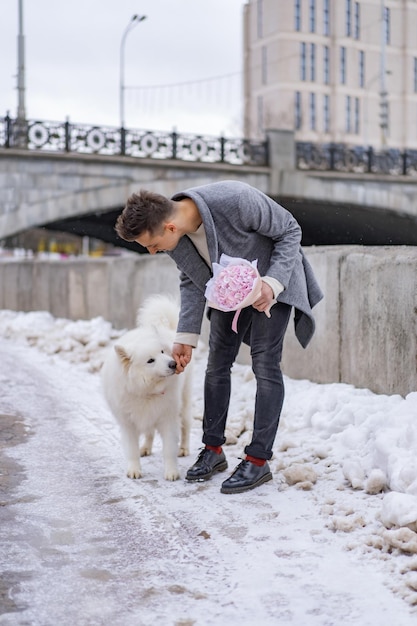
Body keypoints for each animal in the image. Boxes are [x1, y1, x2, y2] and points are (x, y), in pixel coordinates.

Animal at [101, 294, 192, 480]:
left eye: (163, 352)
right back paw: (145, 448)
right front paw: (134, 470)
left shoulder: (167, 418)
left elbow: (169, 450)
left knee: (186, 426)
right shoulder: (128, 423)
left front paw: (171, 472)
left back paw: (184, 449)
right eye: (150, 360)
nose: (173, 364)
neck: (146, 391)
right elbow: (132, 450)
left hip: (183, 404)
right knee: (149, 433)